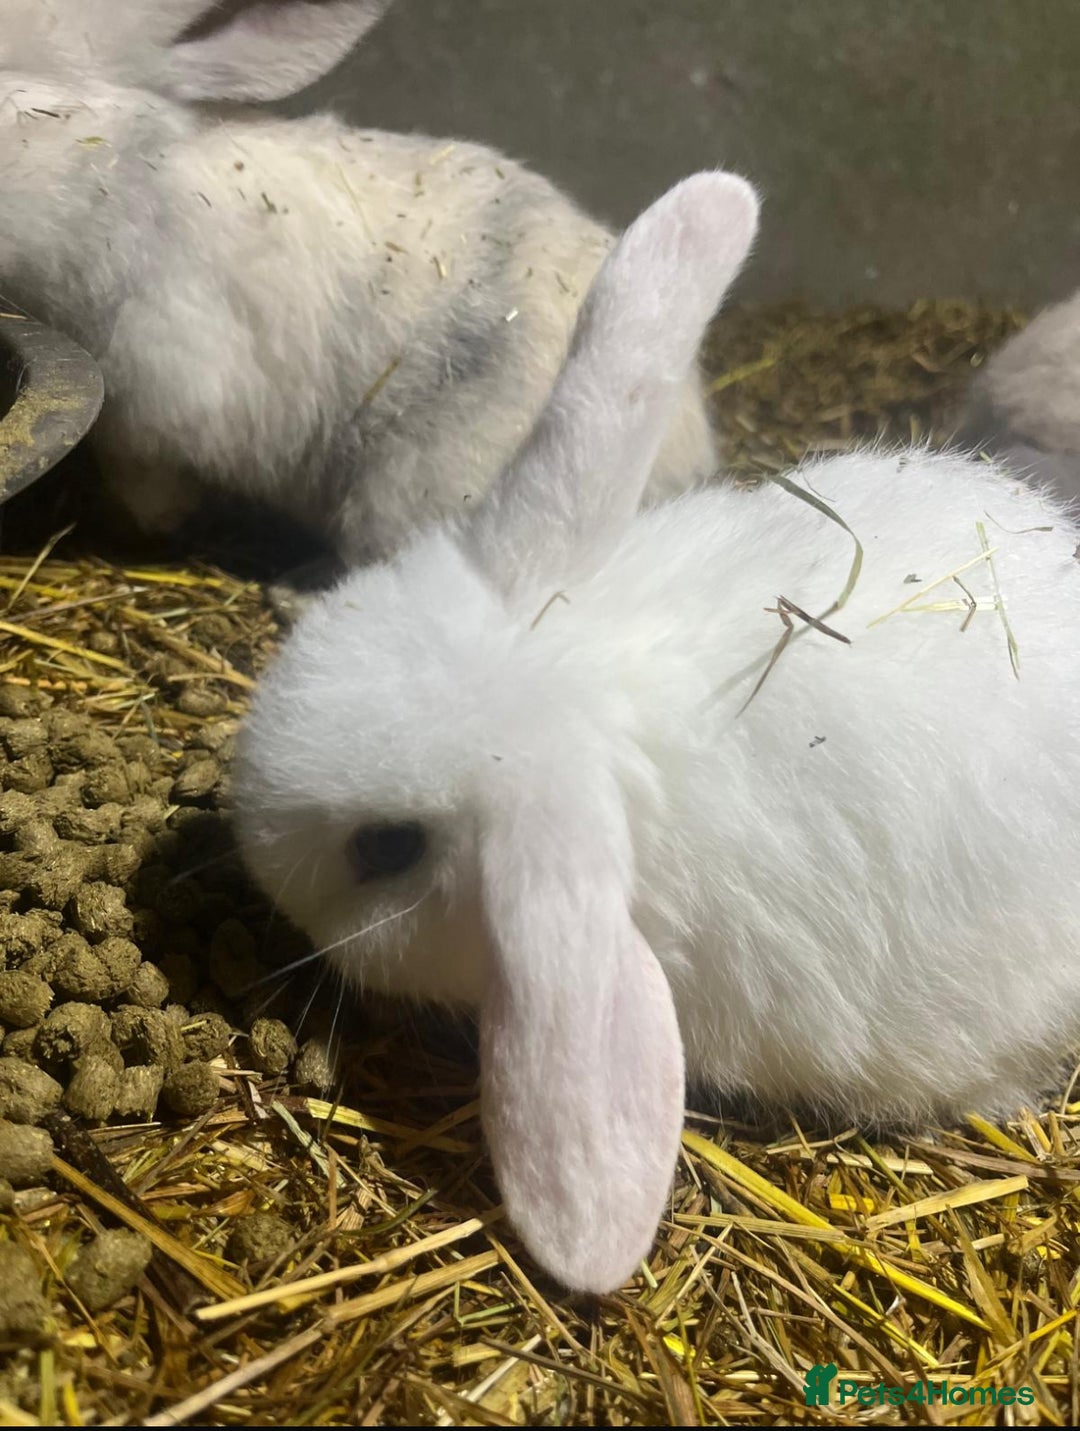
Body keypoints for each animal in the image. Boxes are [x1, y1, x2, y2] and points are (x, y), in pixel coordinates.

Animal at [0, 0, 717, 568]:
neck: (135, 175)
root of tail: (684, 463)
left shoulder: (150, 406)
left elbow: (144, 480)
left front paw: (143, 528)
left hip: (413, 489)